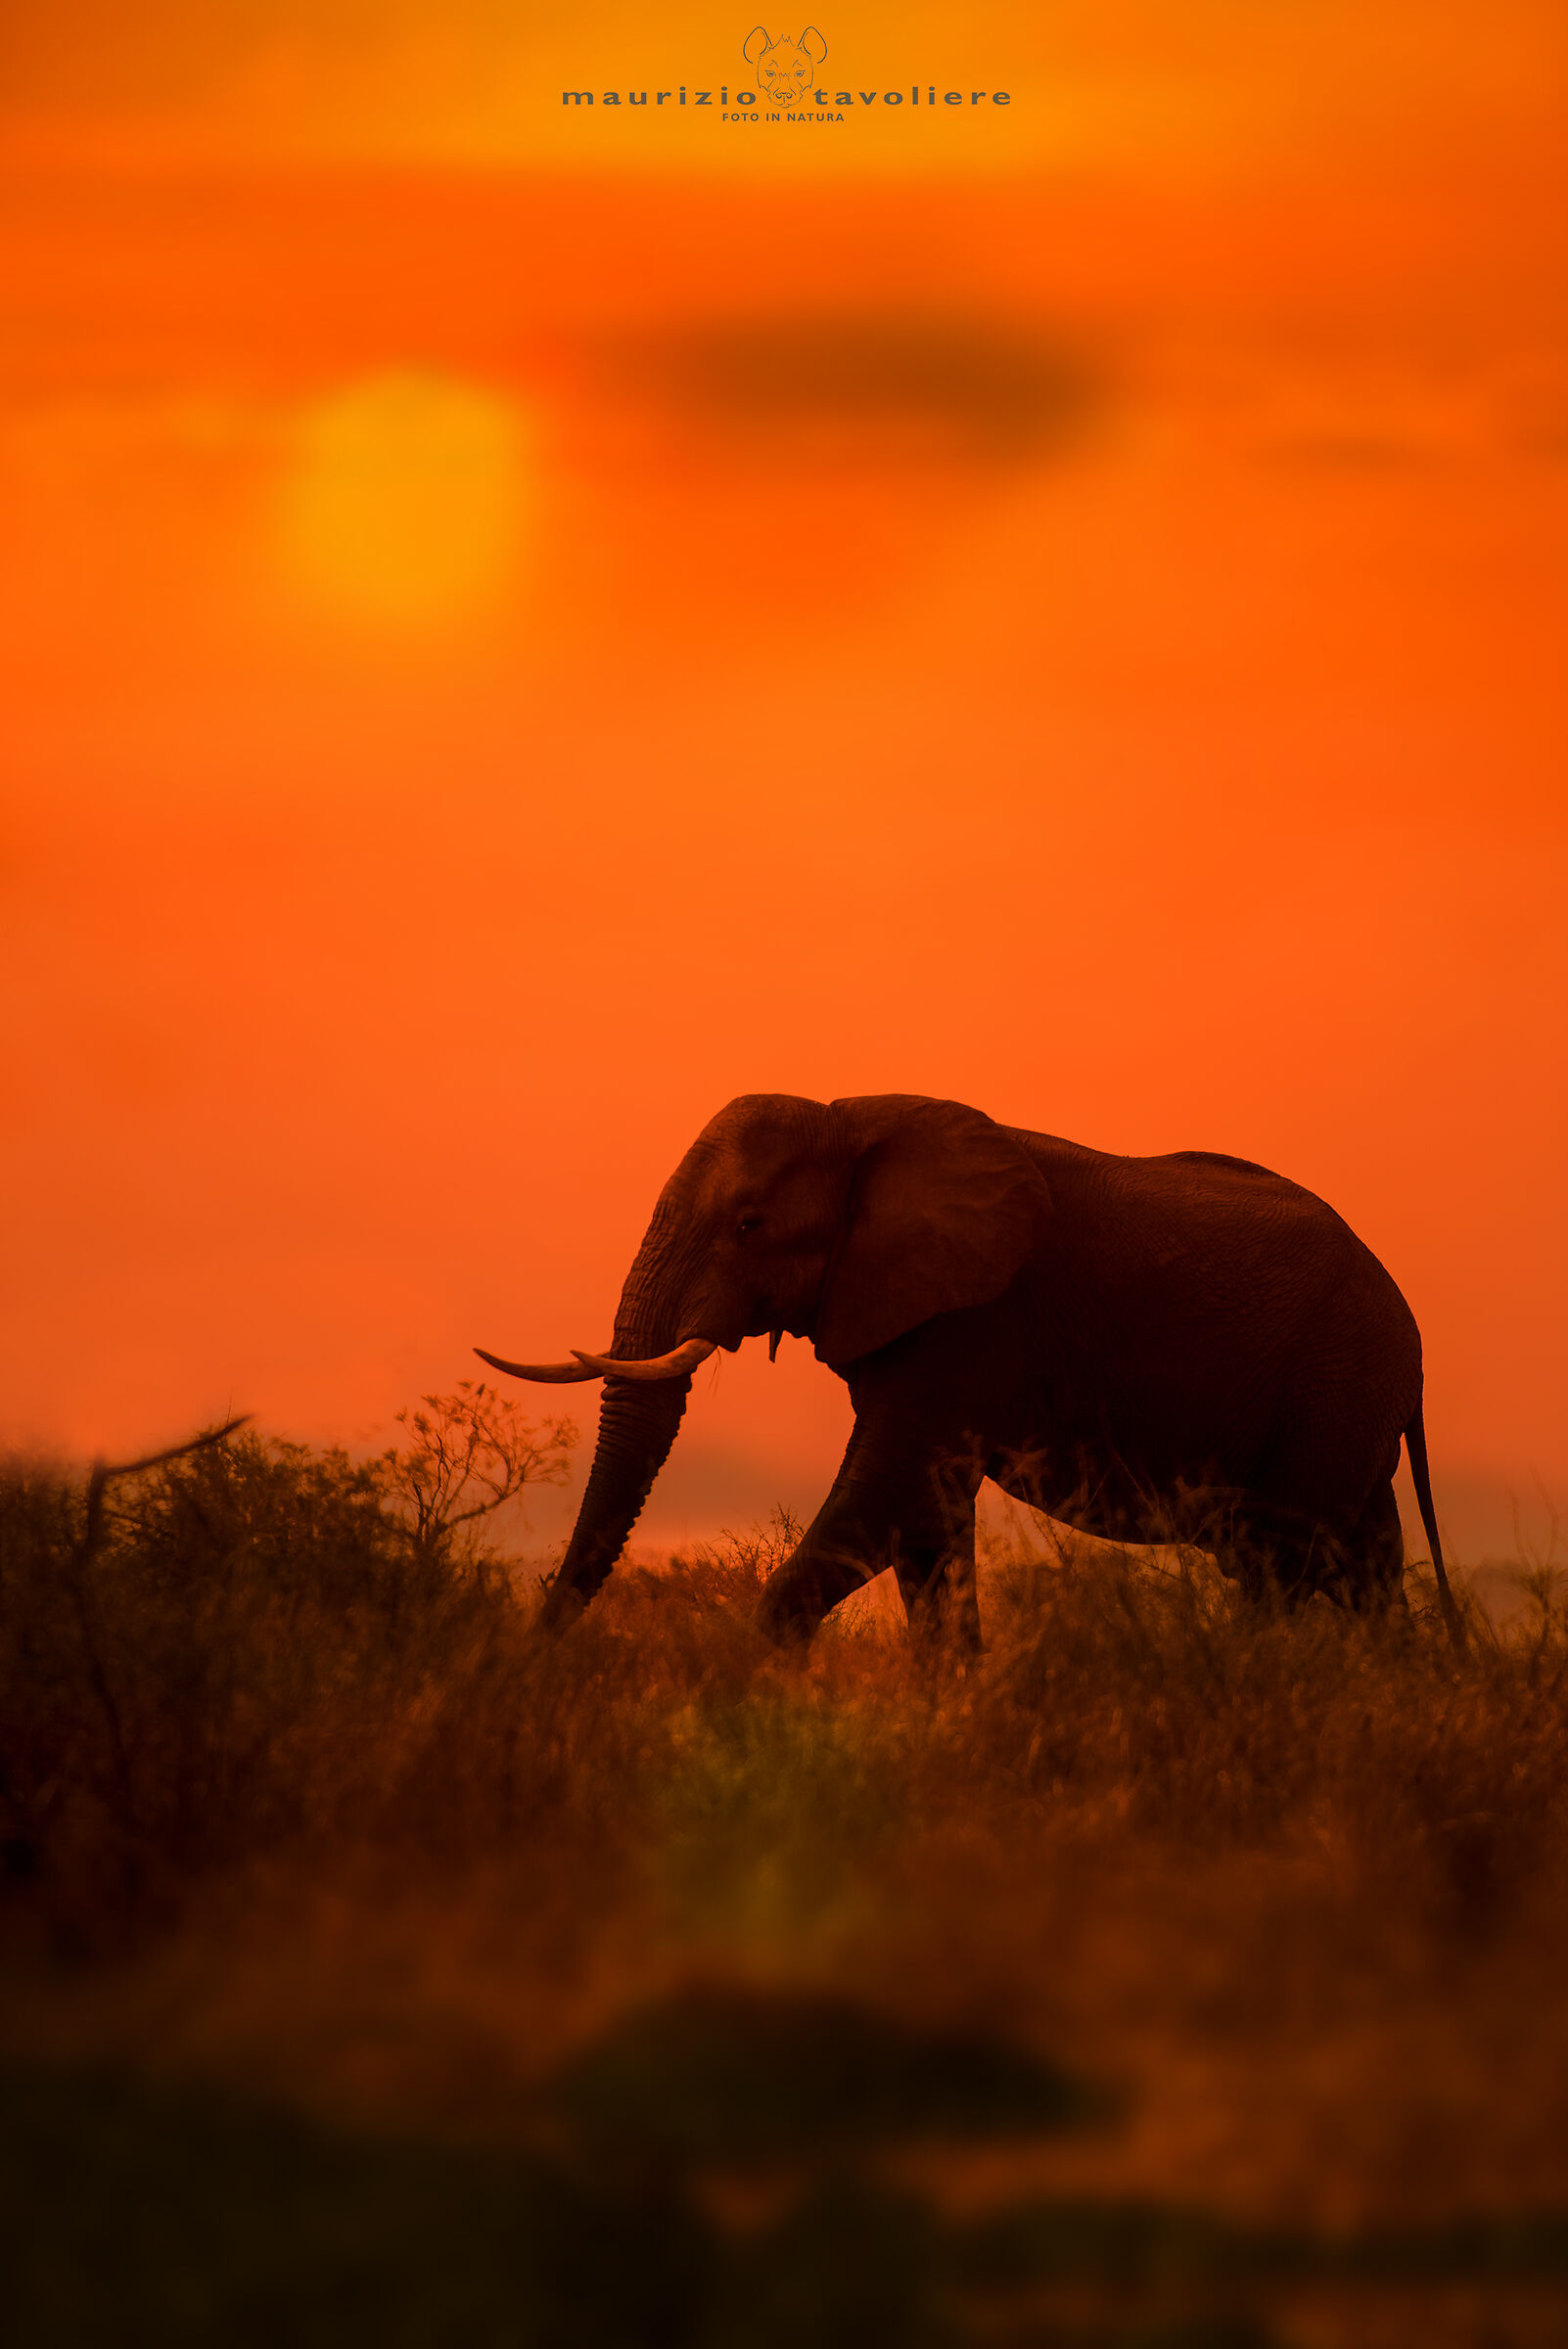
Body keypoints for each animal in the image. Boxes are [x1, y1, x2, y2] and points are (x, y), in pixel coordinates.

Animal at [478, 1093, 1460, 1647]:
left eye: (749, 1224)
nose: (538, 1655)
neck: (851, 1121)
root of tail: (1410, 1330)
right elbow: (925, 1527)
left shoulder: (975, 1318)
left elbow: (886, 1492)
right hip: (1347, 1407)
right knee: (1363, 1570)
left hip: (1334, 1383)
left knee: (1280, 1570)